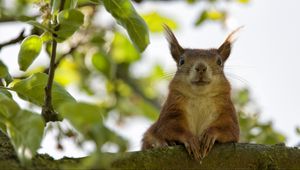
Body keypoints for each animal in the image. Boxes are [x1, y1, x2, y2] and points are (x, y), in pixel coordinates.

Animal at [141, 24, 241, 160]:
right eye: (181, 61)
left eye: (219, 61)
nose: (201, 67)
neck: (200, 97)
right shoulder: (171, 110)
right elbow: (167, 128)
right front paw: (190, 139)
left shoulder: (227, 112)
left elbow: (231, 130)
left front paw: (210, 134)